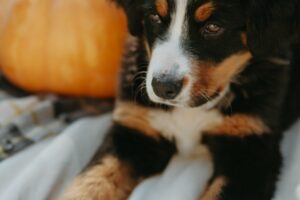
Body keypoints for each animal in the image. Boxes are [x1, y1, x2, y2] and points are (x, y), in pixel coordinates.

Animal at [61, 0, 300, 200]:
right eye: (154, 17)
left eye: (213, 27)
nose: (162, 86)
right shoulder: (134, 129)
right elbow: (91, 183)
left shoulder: (248, 148)